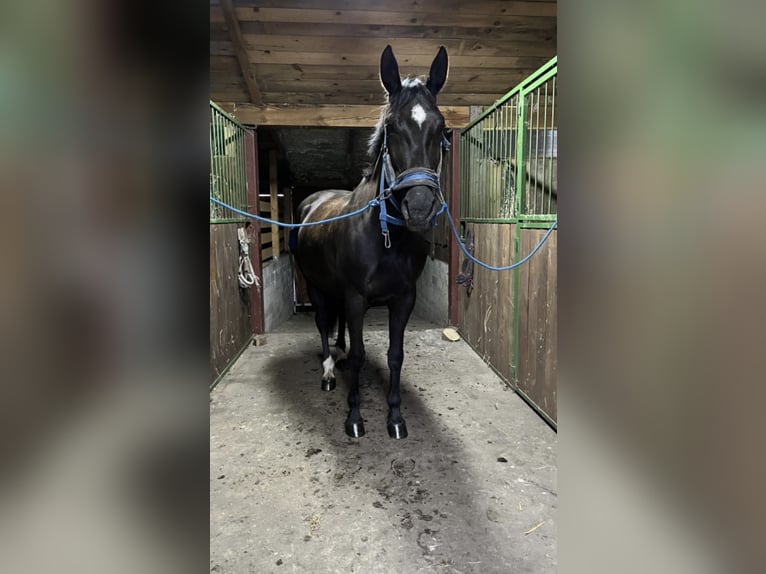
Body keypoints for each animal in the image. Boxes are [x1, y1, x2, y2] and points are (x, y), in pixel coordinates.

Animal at [293, 44, 450, 439]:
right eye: (392, 127)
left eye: (442, 128)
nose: (420, 208)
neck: (386, 239)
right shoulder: (355, 298)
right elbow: (361, 355)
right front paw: (354, 417)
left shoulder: (403, 299)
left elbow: (395, 355)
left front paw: (395, 418)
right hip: (316, 286)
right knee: (323, 324)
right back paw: (329, 373)